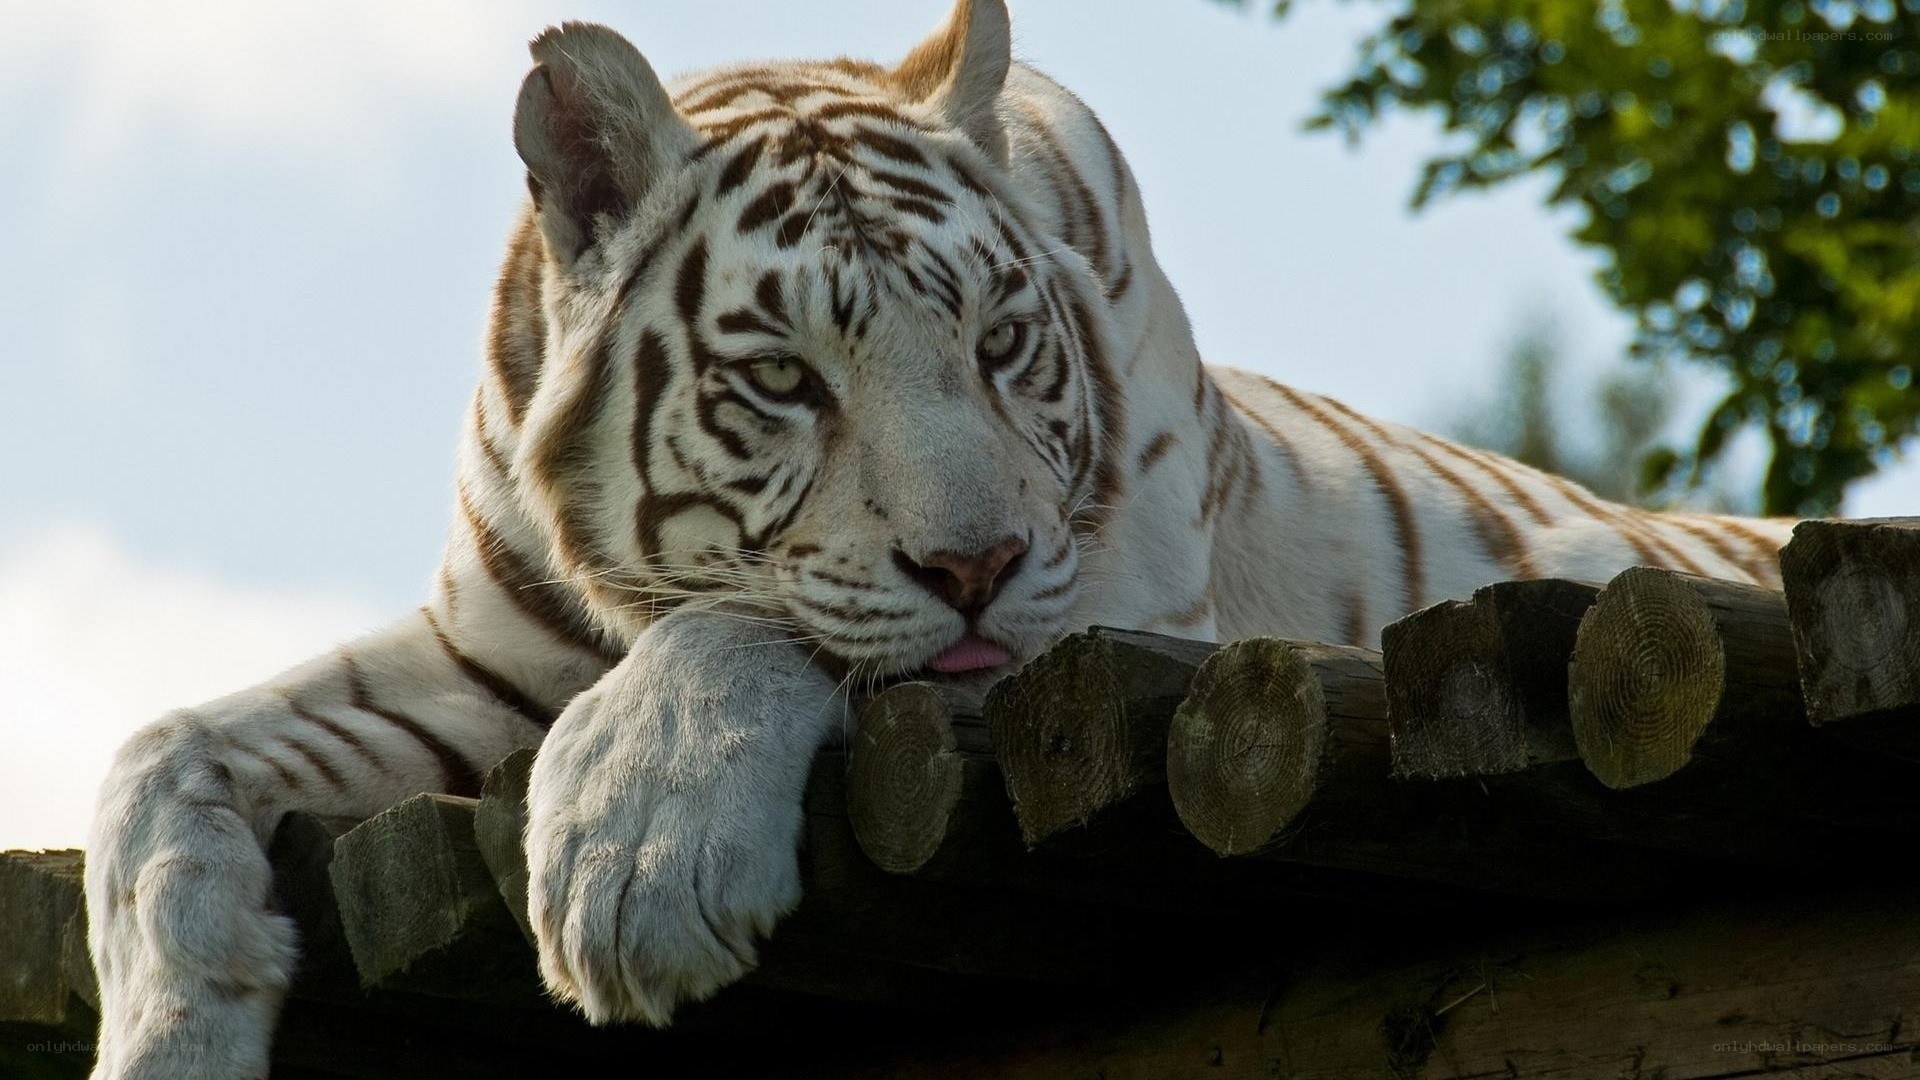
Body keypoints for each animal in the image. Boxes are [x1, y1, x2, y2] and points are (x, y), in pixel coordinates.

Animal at [83, 3, 1798, 1077]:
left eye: (997, 344)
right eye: (786, 378)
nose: (974, 568)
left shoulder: (1105, 609)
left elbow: (758, 622)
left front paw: (634, 862)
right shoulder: (477, 658)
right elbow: (160, 753)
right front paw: (170, 1035)